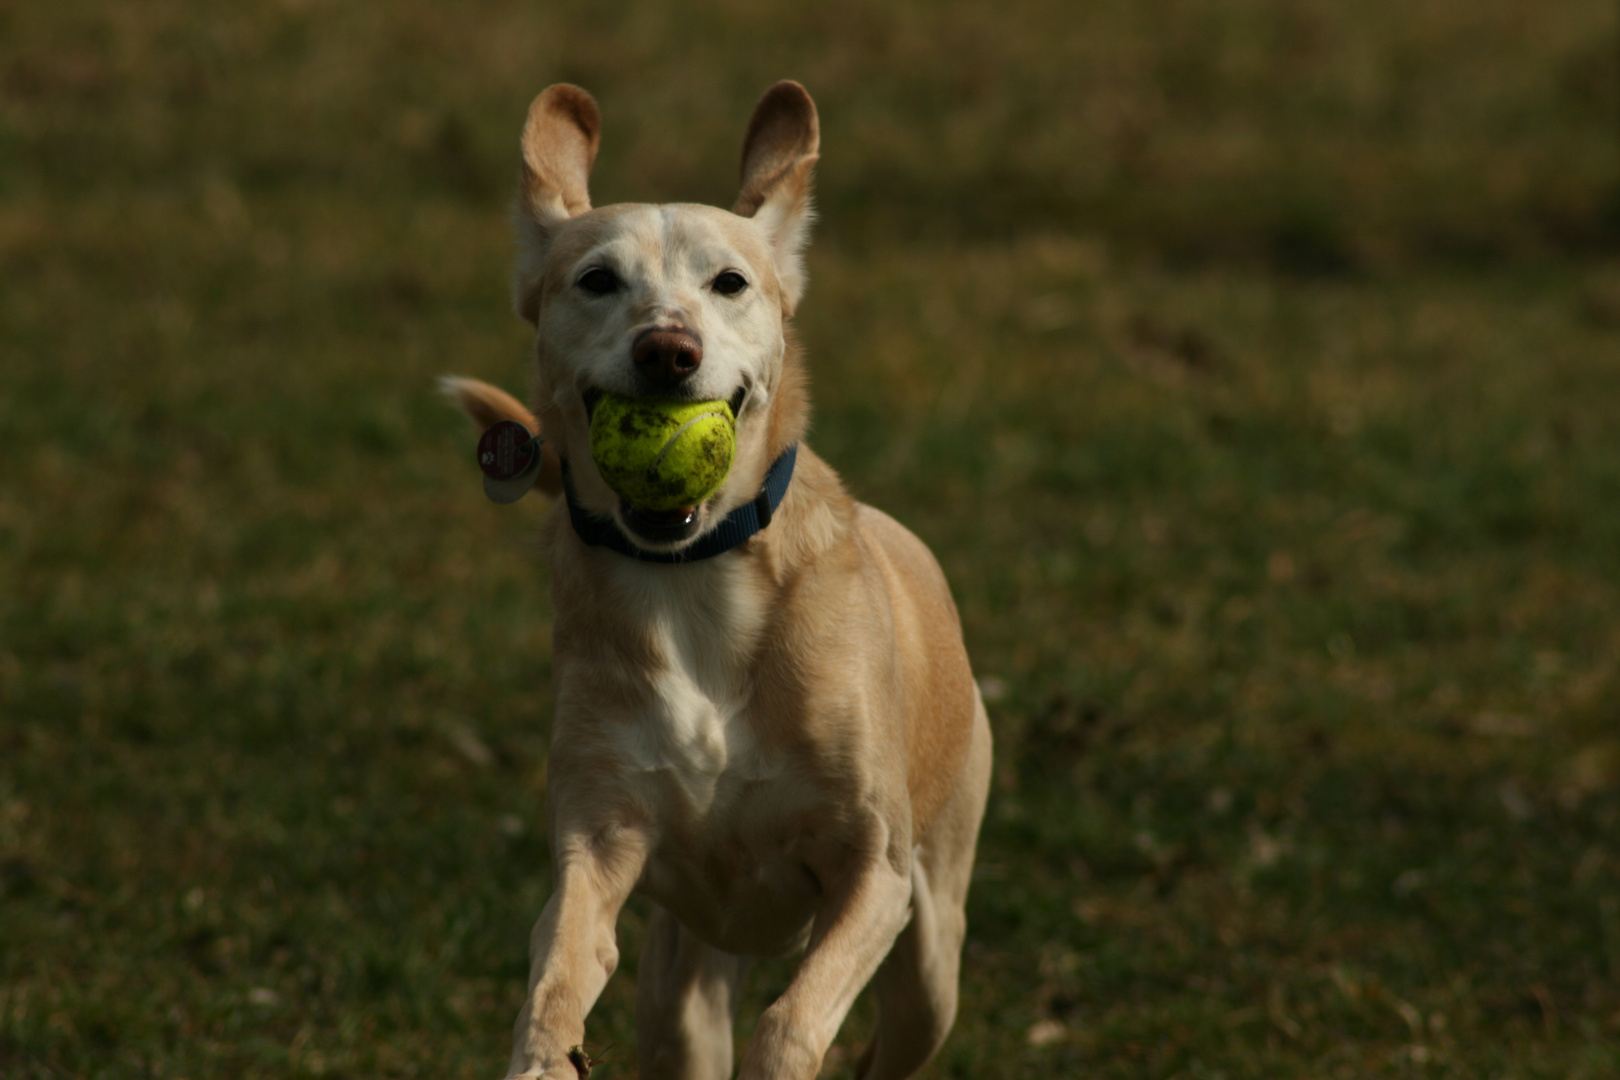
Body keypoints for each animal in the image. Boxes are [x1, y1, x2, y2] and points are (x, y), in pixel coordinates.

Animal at [450, 82, 991, 1080]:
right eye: (597, 280)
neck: (691, 584)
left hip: (931, 955)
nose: (667, 349)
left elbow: (793, 1020)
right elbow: (558, 980)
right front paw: (545, 1052)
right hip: (682, 993)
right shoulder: (599, 839)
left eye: (729, 283)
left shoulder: (875, 870)